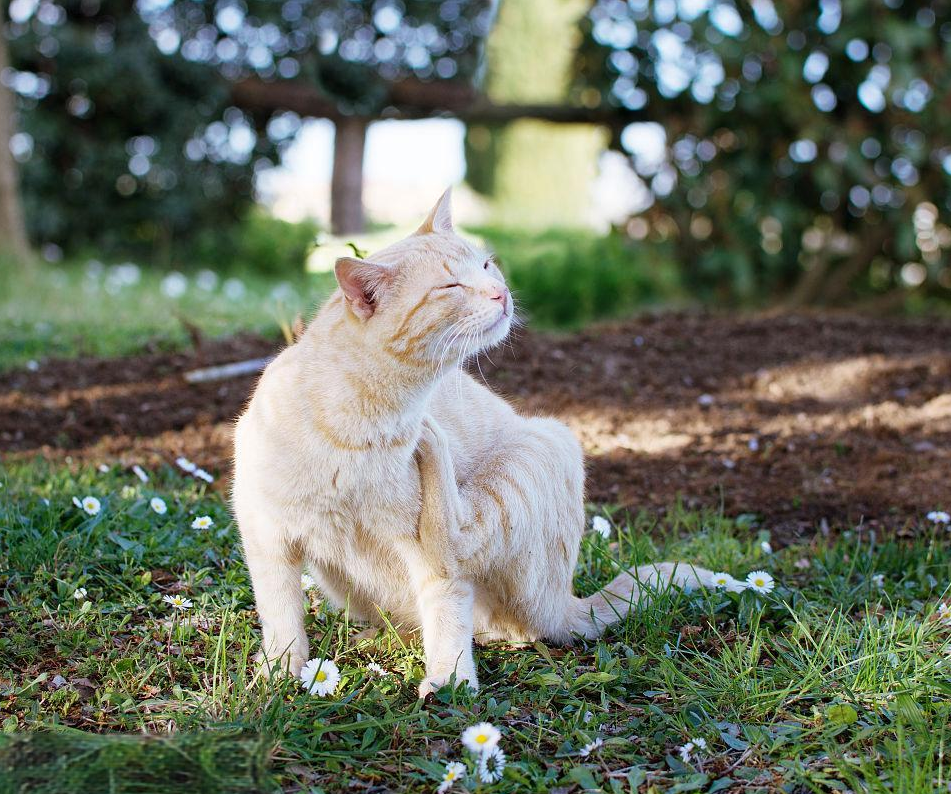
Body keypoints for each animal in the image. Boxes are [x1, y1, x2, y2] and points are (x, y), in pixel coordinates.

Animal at [232, 189, 741, 696]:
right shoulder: (266, 537)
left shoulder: (424, 556)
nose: (502, 293)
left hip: (548, 442)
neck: (365, 423)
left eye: (486, 265)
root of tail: (567, 601)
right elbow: (281, 616)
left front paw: (452, 681)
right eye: (450, 287)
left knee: (460, 546)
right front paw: (280, 672)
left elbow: (445, 601)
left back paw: (432, 444)